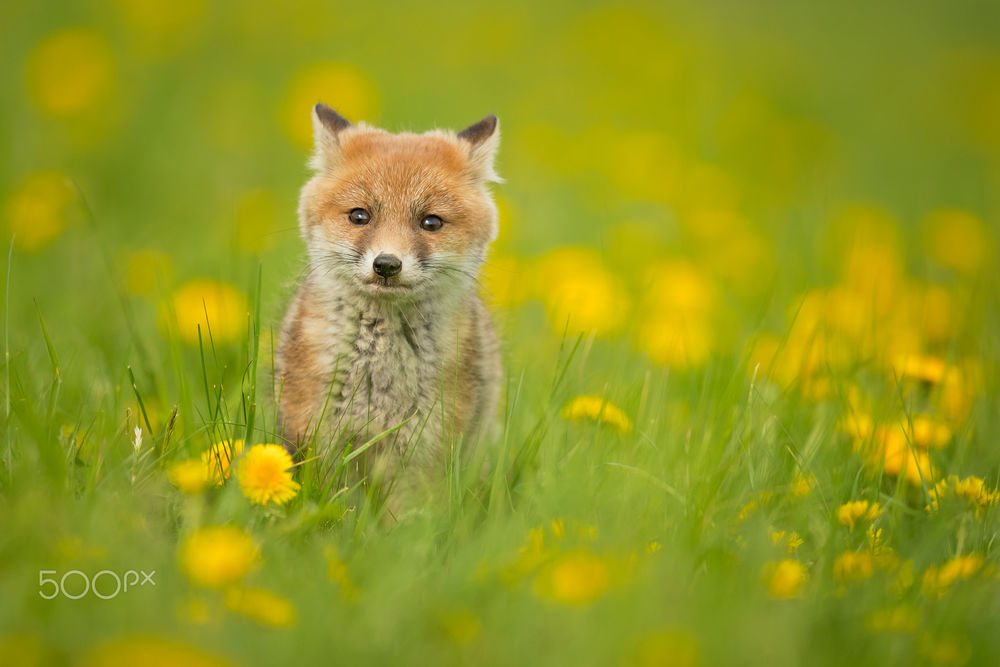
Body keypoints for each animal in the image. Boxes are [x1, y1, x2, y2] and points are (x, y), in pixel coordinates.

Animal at [278, 104, 504, 512]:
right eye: (360, 216)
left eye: (431, 221)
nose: (386, 264)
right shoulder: (317, 437)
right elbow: (332, 508)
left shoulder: (425, 452)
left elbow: (410, 518)